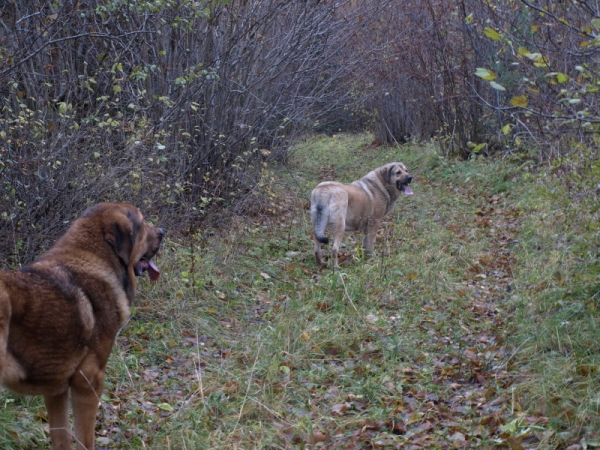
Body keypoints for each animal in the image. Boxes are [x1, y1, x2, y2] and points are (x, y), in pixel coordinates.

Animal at [0, 204, 164, 450]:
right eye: (143, 223)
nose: (162, 232)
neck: (97, 260)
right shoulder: (88, 382)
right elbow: (85, 439)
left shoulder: (56, 392)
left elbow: (62, 438)